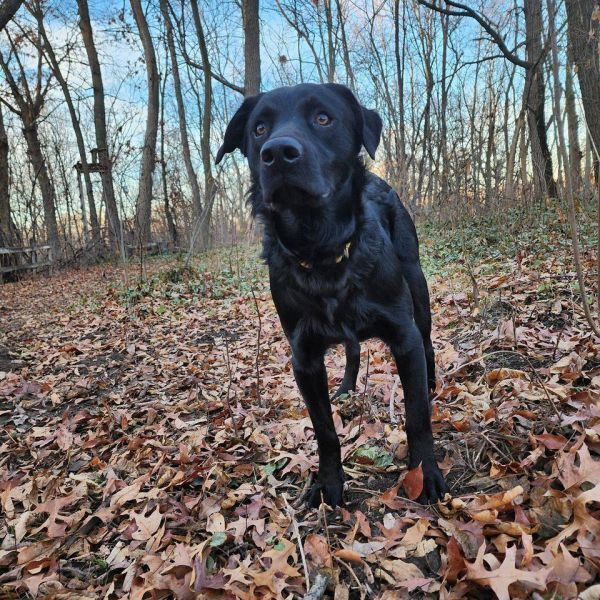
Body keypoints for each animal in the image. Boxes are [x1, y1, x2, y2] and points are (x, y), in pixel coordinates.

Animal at [216, 84, 446, 506]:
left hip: (418, 292)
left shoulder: (403, 335)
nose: (278, 152)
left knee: (428, 344)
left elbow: (417, 415)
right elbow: (324, 430)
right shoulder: (304, 358)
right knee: (353, 352)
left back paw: (433, 382)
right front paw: (329, 483)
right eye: (259, 128)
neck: (322, 251)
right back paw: (346, 388)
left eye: (323, 118)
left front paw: (425, 474)